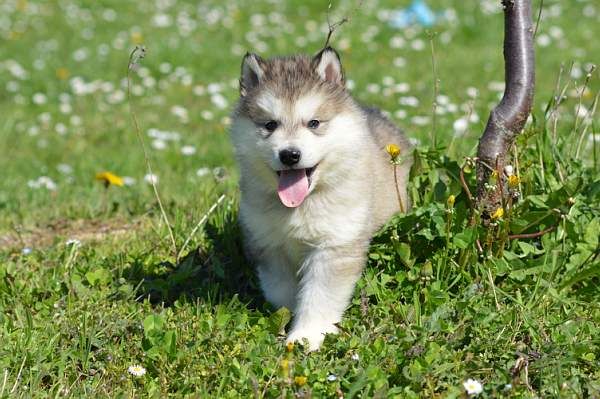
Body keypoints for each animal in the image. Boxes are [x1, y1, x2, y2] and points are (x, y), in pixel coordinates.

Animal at [230, 46, 412, 350]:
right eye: (270, 124)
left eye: (314, 123)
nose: (290, 155)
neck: (300, 206)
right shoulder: (269, 245)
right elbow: (281, 290)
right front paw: (288, 316)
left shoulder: (333, 246)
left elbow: (319, 296)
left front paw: (306, 335)